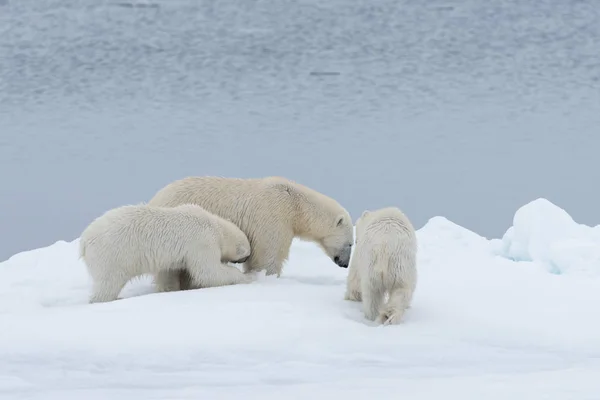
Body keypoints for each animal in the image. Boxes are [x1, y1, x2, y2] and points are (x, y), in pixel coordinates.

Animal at [79, 203, 253, 304]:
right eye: (246, 254)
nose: (247, 258)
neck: (217, 227)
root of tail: (85, 241)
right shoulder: (202, 242)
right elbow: (208, 271)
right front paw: (245, 278)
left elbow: (168, 272)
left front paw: (170, 289)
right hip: (112, 253)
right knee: (109, 281)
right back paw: (109, 299)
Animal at [148, 177, 354, 290]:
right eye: (351, 243)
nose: (345, 264)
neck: (295, 204)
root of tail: (154, 198)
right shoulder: (273, 216)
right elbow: (267, 256)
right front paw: (266, 278)